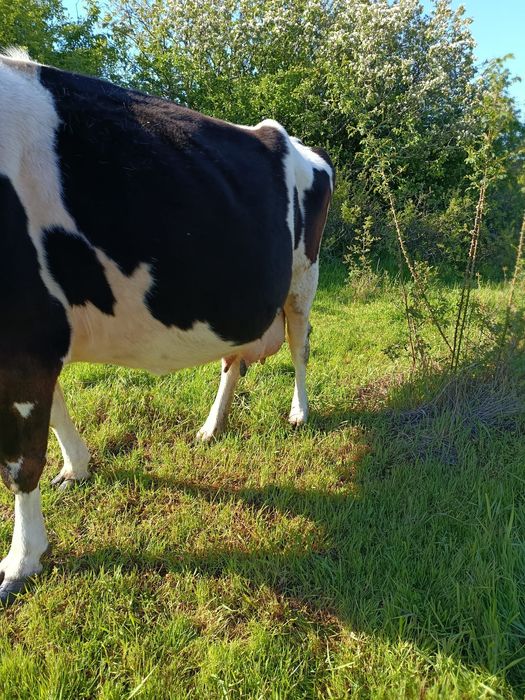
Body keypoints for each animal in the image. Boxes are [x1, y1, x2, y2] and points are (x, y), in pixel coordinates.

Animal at [0, 49, 334, 605]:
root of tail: (286, 137)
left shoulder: (25, 338)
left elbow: (21, 463)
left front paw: (20, 561)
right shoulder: (39, 337)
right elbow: (55, 413)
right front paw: (77, 467)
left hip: (303, 278)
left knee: (300, 347)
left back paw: (299, 413)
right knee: (233, 360)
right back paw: (211, 426)